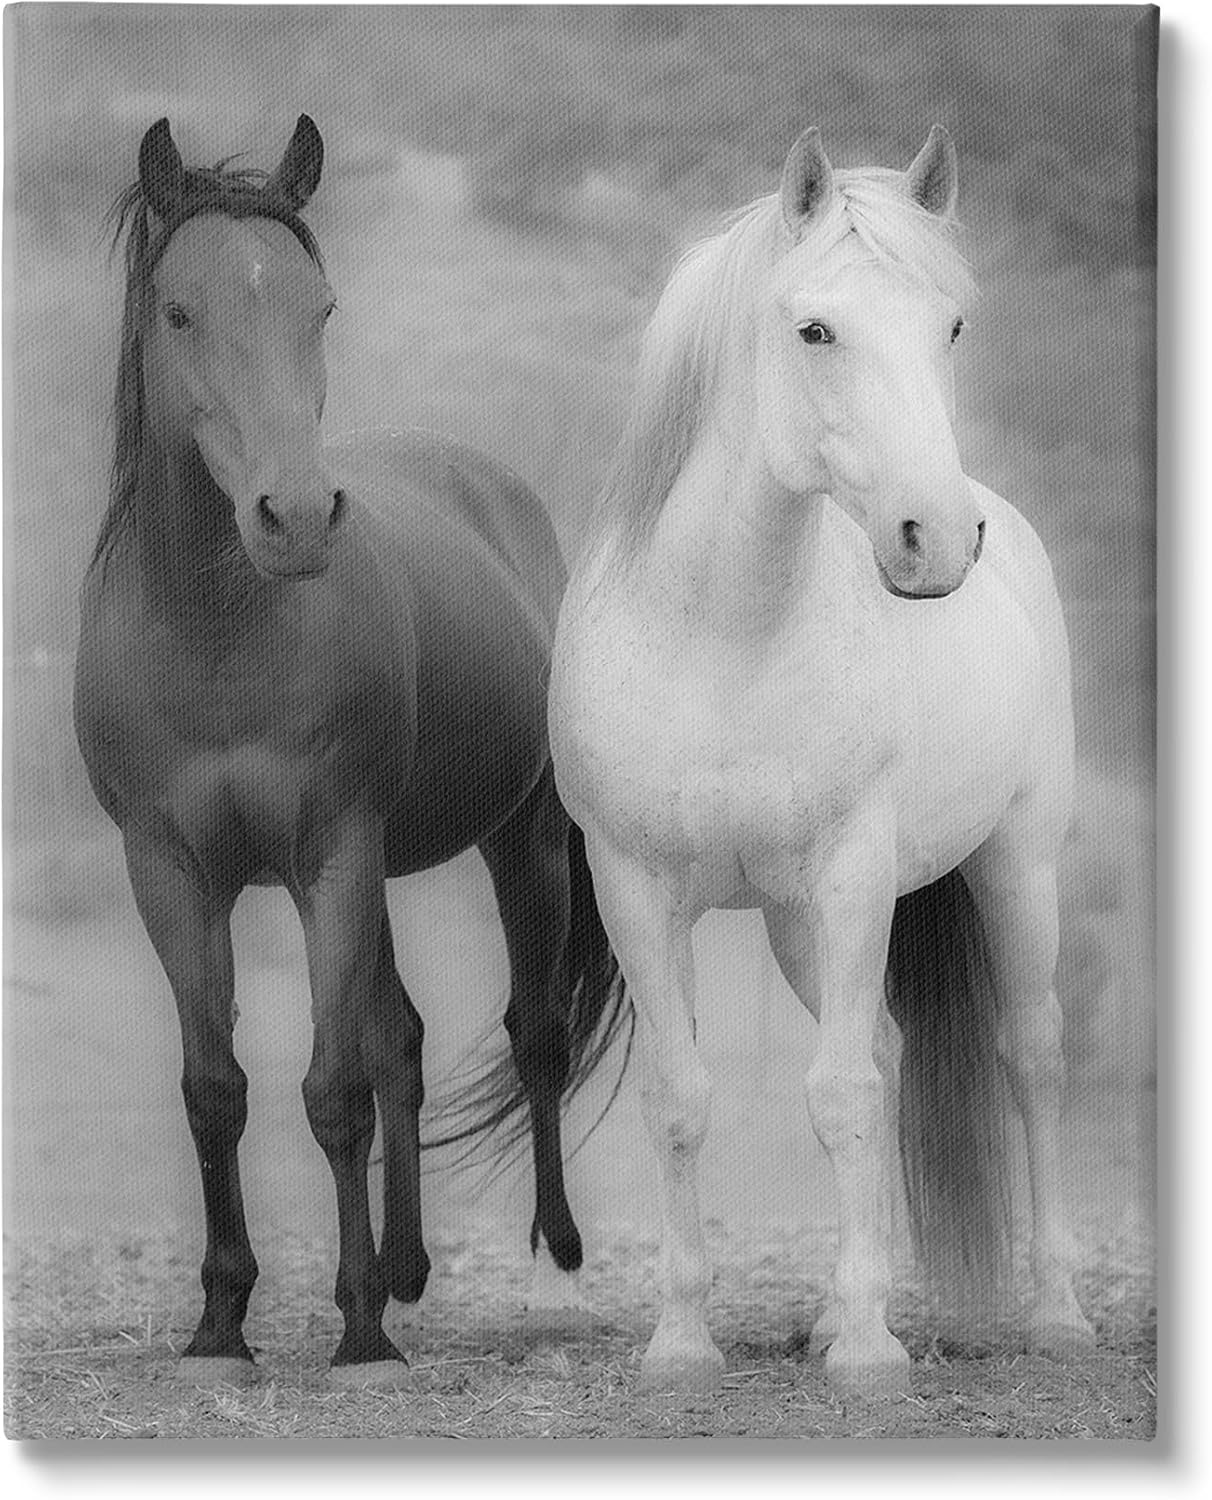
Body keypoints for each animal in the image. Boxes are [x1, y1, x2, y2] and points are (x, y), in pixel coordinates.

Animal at [73, 115, 629, 1388]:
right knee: (404, 1044)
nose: (294, 517)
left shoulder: (335, 853)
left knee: (532, 1037)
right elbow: (216, 1093)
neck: (219, 633)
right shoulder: (170, 873)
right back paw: (406, 1266)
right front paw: (222, 1320)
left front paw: (359, 1331)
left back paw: (549, 1254)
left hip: (515, 844)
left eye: (318, 307)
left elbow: (333, 1094)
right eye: (179, 311)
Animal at [547, 125, 1097, 1399]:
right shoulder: (636, 888)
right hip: (802, 927)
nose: (933, 540)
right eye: (814, 330)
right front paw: (683, 1342)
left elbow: (840, 1097)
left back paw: (1054, 1315)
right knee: (890, 1052)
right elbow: (682, 1099)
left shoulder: (853, 874)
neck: (720, 636)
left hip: (1015, 867)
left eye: (952, 327)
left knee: (1032, 1059)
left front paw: (866, 1351)